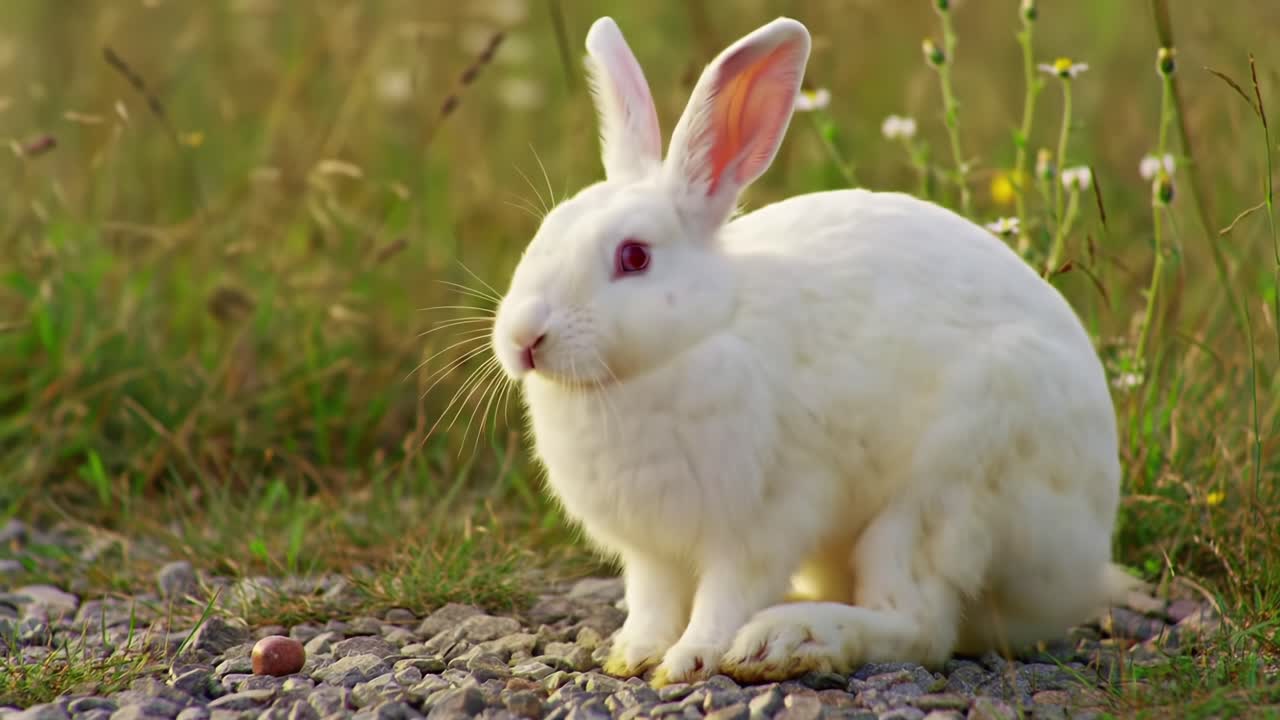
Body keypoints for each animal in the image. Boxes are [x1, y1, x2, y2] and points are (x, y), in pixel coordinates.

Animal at [488, 14, 1137, 686]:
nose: (524, 338)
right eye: (546, 231)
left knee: (920, 626)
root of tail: (1082, 561)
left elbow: (723, 598)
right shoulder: (651, 554)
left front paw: (690, 660)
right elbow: (653, 602)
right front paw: (633, 656)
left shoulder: (761, 524)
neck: (691, 341)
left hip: (946, 492)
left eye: (634, 257)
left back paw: (785, 639)